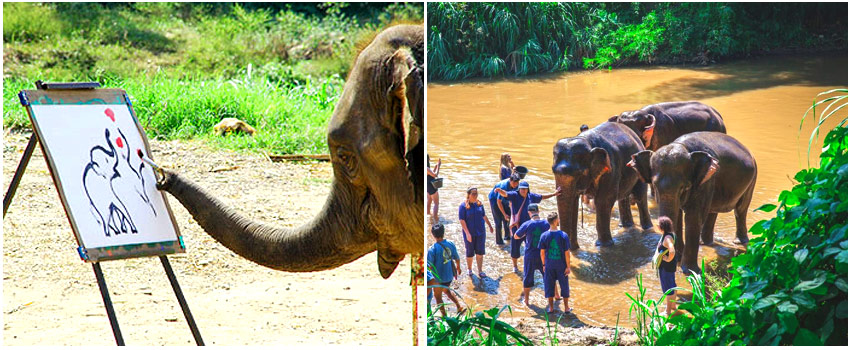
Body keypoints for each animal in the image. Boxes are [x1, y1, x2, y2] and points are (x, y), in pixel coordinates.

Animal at [548, 121, 648, 250]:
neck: (587, 141)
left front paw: (604, 245)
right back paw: (626, 226)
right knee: (623, 197)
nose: (568, 248)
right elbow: (573, 203)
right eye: (553, 170)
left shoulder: (611, 168)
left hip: (640, 169)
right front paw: (574, 249)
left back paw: (647, 228)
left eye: (579, 173)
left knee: (640, 196)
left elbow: (603, 201)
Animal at [628, 131, 760, 274]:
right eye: (654, 185)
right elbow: (678, 217)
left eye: (684, 188)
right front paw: (677, 260)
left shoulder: (705, 180)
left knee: (740, 209)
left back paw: (738, 242)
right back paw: (705, 243)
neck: (682, 146)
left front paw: (689, 270)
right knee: (713, 210)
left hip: (752, 178)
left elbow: (693, 218)